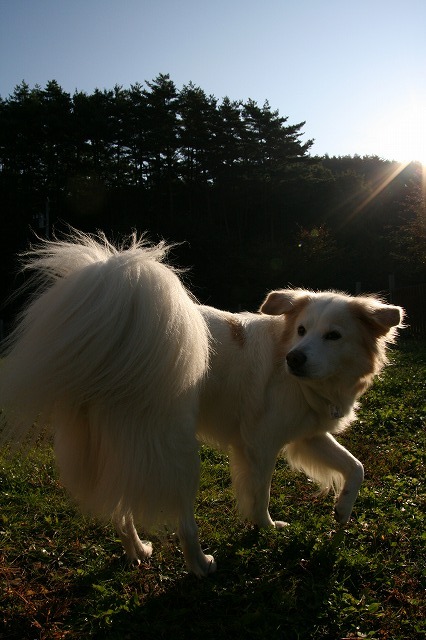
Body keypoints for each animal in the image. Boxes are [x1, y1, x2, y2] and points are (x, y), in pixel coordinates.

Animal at [0, 231, 402, 576]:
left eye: (333, 336)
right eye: (302, 330)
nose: (295, 359)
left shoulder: (308, 435)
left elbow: (355, 467)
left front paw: (342, 511)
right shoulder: (260, 445)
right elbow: (261, 494)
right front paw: (266, 528)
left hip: (118, 448)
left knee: (120, 505)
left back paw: (137, 551)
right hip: (177, 452)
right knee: (182, 520)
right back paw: (200, 564)